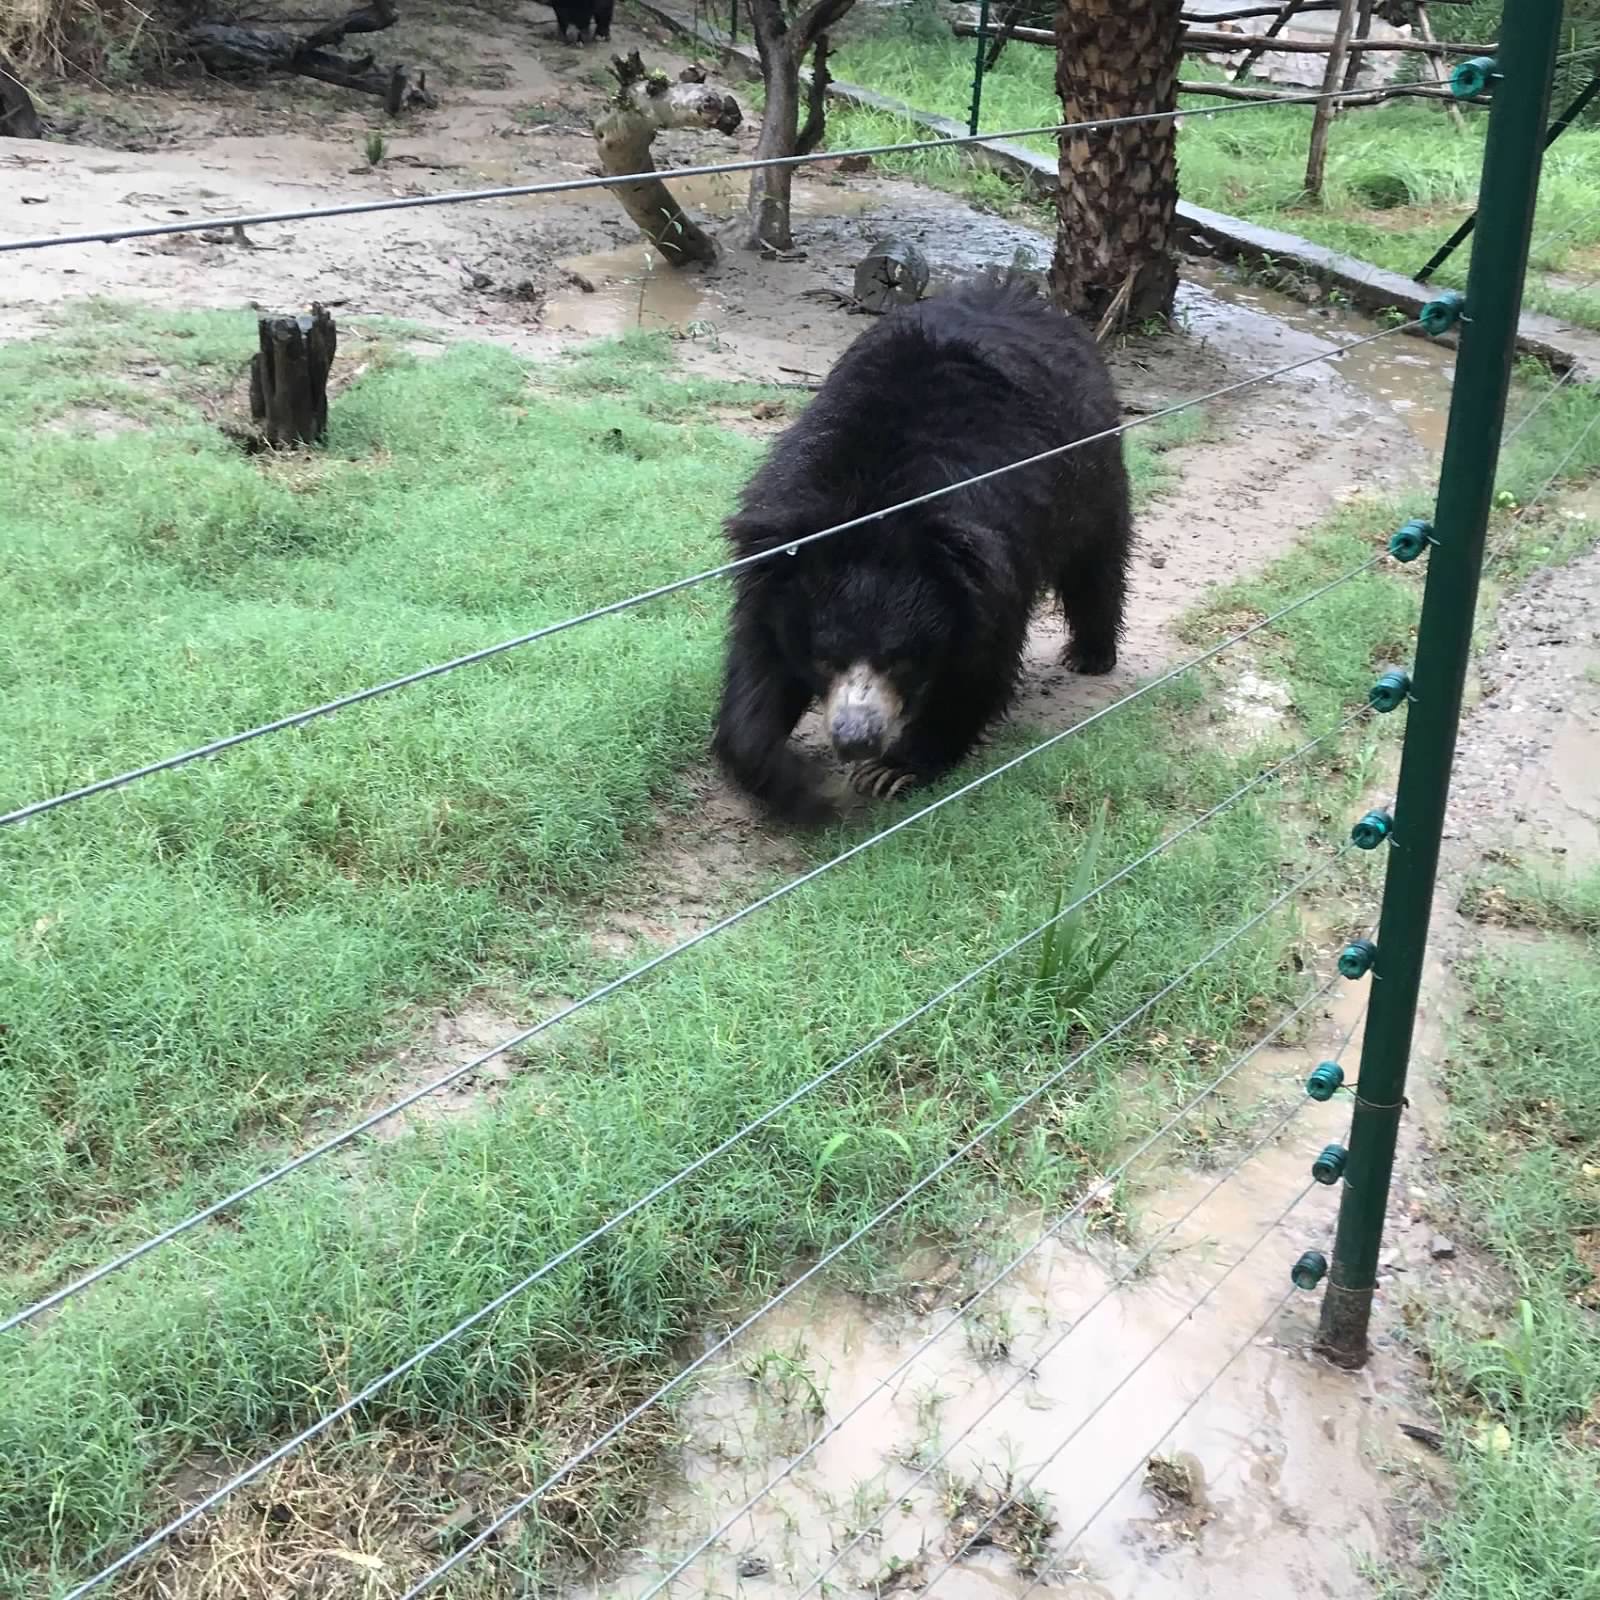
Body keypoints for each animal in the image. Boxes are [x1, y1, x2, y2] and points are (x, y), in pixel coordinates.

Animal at [711, 275, 1133, 826]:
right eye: (824, 657)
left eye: (900, 660)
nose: (856, 739)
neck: (873, 505)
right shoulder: (781, 554)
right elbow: (760, 656)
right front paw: (793, 783)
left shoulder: (991, 555)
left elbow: (979, 661)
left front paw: (892, 770)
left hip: (1090, 465)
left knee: (1095, 558)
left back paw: (1089, 654)